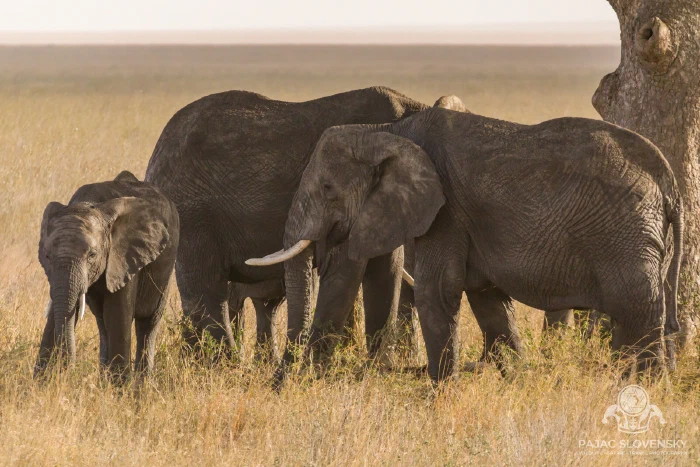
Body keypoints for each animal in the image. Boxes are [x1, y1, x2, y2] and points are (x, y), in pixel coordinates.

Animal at [35, 170, 179, 378]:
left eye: (92, 255)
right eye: (47, 256)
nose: (68, 368)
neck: (89, 203)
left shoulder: (124, 257)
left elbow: (117, 314)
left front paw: (120, 386)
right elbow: (58, 311)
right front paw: (40, 381)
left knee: (148, 323)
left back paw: (141, 385)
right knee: (104, 325)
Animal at [248, 107, 683, 383]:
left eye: (327, 189)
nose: (279, 385)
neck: (385, 130)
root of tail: (668, 182)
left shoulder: (446, 211)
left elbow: (436, 291)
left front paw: (441, 396)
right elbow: (488, 300)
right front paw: (519, 384)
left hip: (625, 235)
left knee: (638, 310)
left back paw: (647, 390)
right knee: (635, 317)